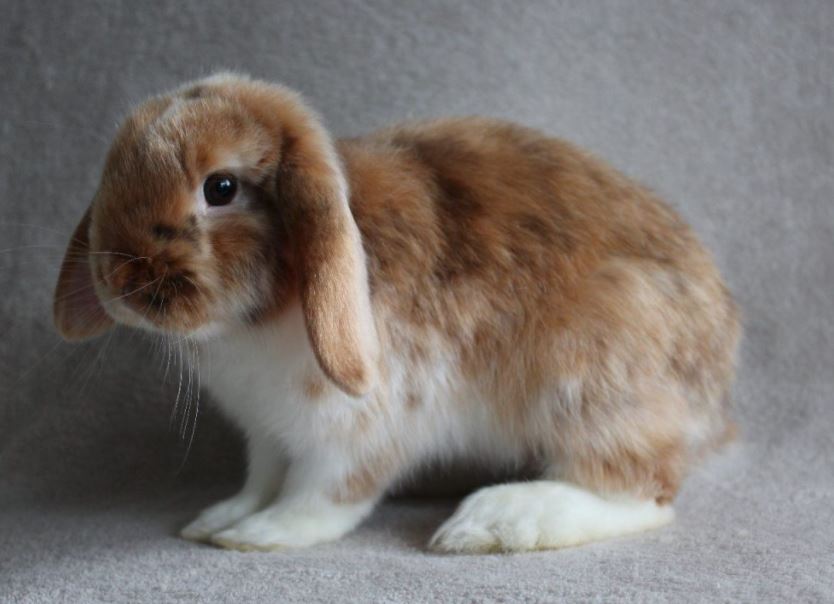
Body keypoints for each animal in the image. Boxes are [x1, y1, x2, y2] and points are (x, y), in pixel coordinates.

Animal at [53, 72, 740, 553]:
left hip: (590, 381)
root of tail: (715, 393)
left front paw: (262, 535)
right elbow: (262, 477)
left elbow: (323, 494)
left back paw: (495, 522)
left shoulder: (358, 429)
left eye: (220, 188)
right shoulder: (267, 432)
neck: (265, 314)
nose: (117, 280)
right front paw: (219, 518)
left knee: (643, 491)